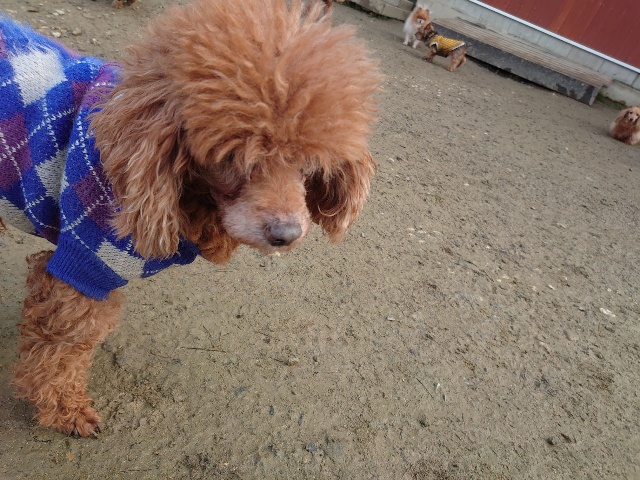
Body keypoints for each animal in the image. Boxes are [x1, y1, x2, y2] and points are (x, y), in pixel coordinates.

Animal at [0, 0, 381, 437]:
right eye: (232, 159)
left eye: (309, 162)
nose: (286, 234)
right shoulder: (83, 266)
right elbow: (63, 347)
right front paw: (66, 410)